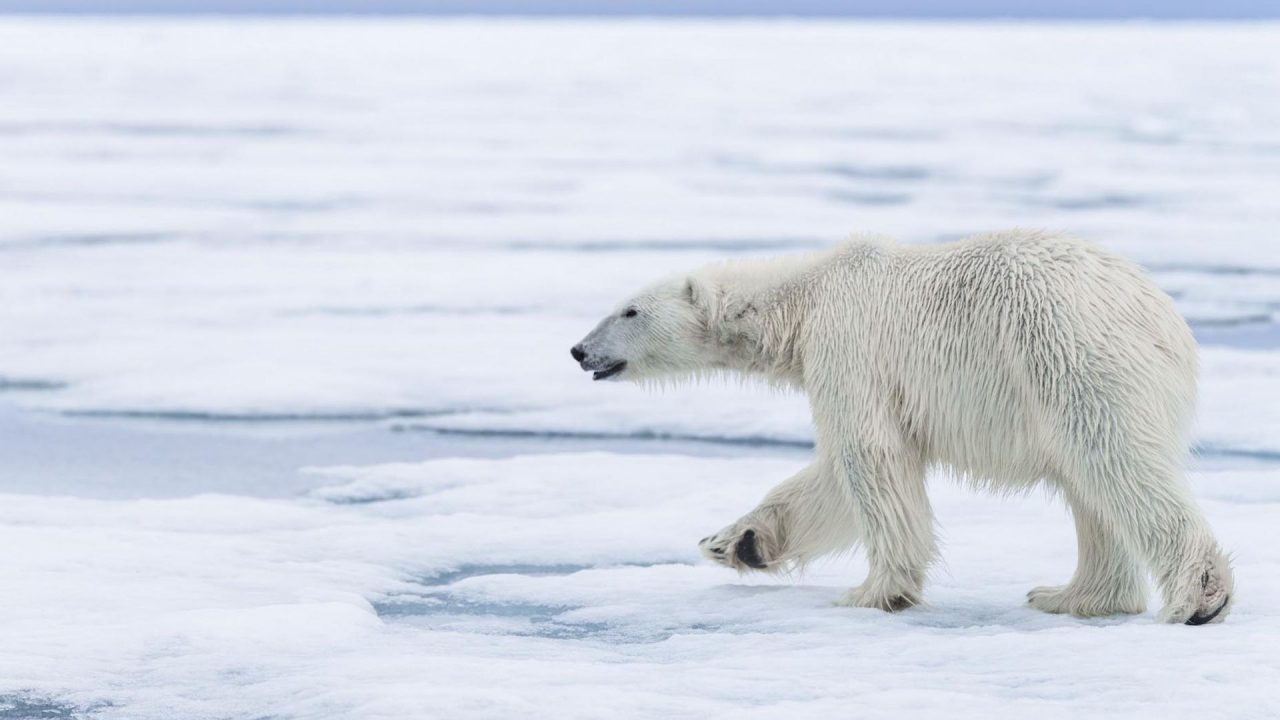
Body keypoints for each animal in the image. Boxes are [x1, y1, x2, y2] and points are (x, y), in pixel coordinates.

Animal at [570, 228, 1228, 622]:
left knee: (1113, 462)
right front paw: (739, 541)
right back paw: (1070, 596)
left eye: (629, 310)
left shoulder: (849, 347)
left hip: (1070, 355)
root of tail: (1166, 320)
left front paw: (872, 592)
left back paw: (1197, 597)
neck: (806, 298)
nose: (578, 350)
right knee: (1090, 488)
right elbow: (835, 476)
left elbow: (869, 458)